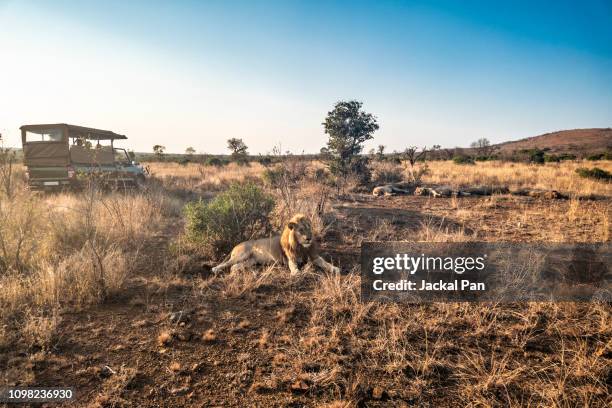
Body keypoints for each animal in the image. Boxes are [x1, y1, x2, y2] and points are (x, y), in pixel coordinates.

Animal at [208, 212, 338, 276]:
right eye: (301, 230)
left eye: (309, 228)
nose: (309, 239)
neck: (301, 247)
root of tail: (236, 245)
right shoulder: (291, 259)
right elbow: (293, 266)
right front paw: (296, 272)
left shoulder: (314, 257)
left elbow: (324, 262)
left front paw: (334, 268)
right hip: (242, 254)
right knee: (227, 264)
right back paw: (215, 269)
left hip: (251, 261)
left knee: (234, 267)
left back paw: (246, 272)